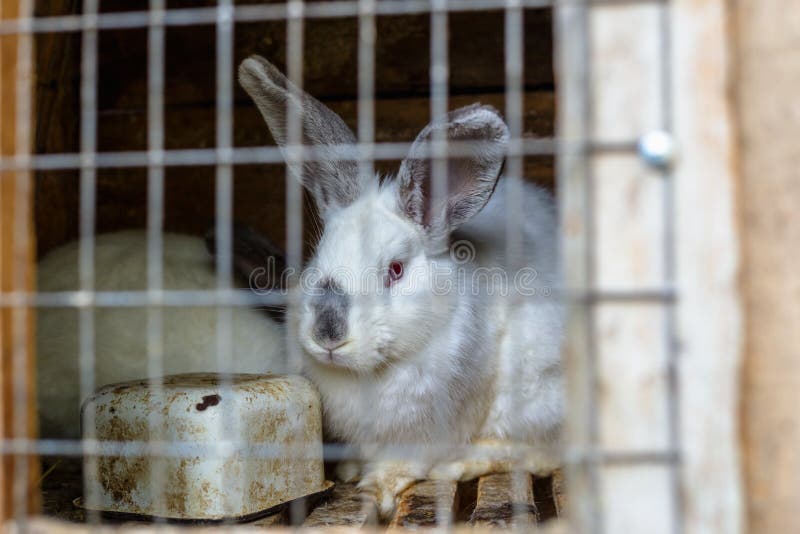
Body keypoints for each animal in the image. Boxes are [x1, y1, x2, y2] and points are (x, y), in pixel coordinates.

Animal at [238, 55, 564, 517]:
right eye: (318, 259)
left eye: (395, 269)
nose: (328, 333)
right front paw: (351, 470)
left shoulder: (428, 429)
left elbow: (406, 462)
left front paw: (377, 486)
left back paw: (463, 464)